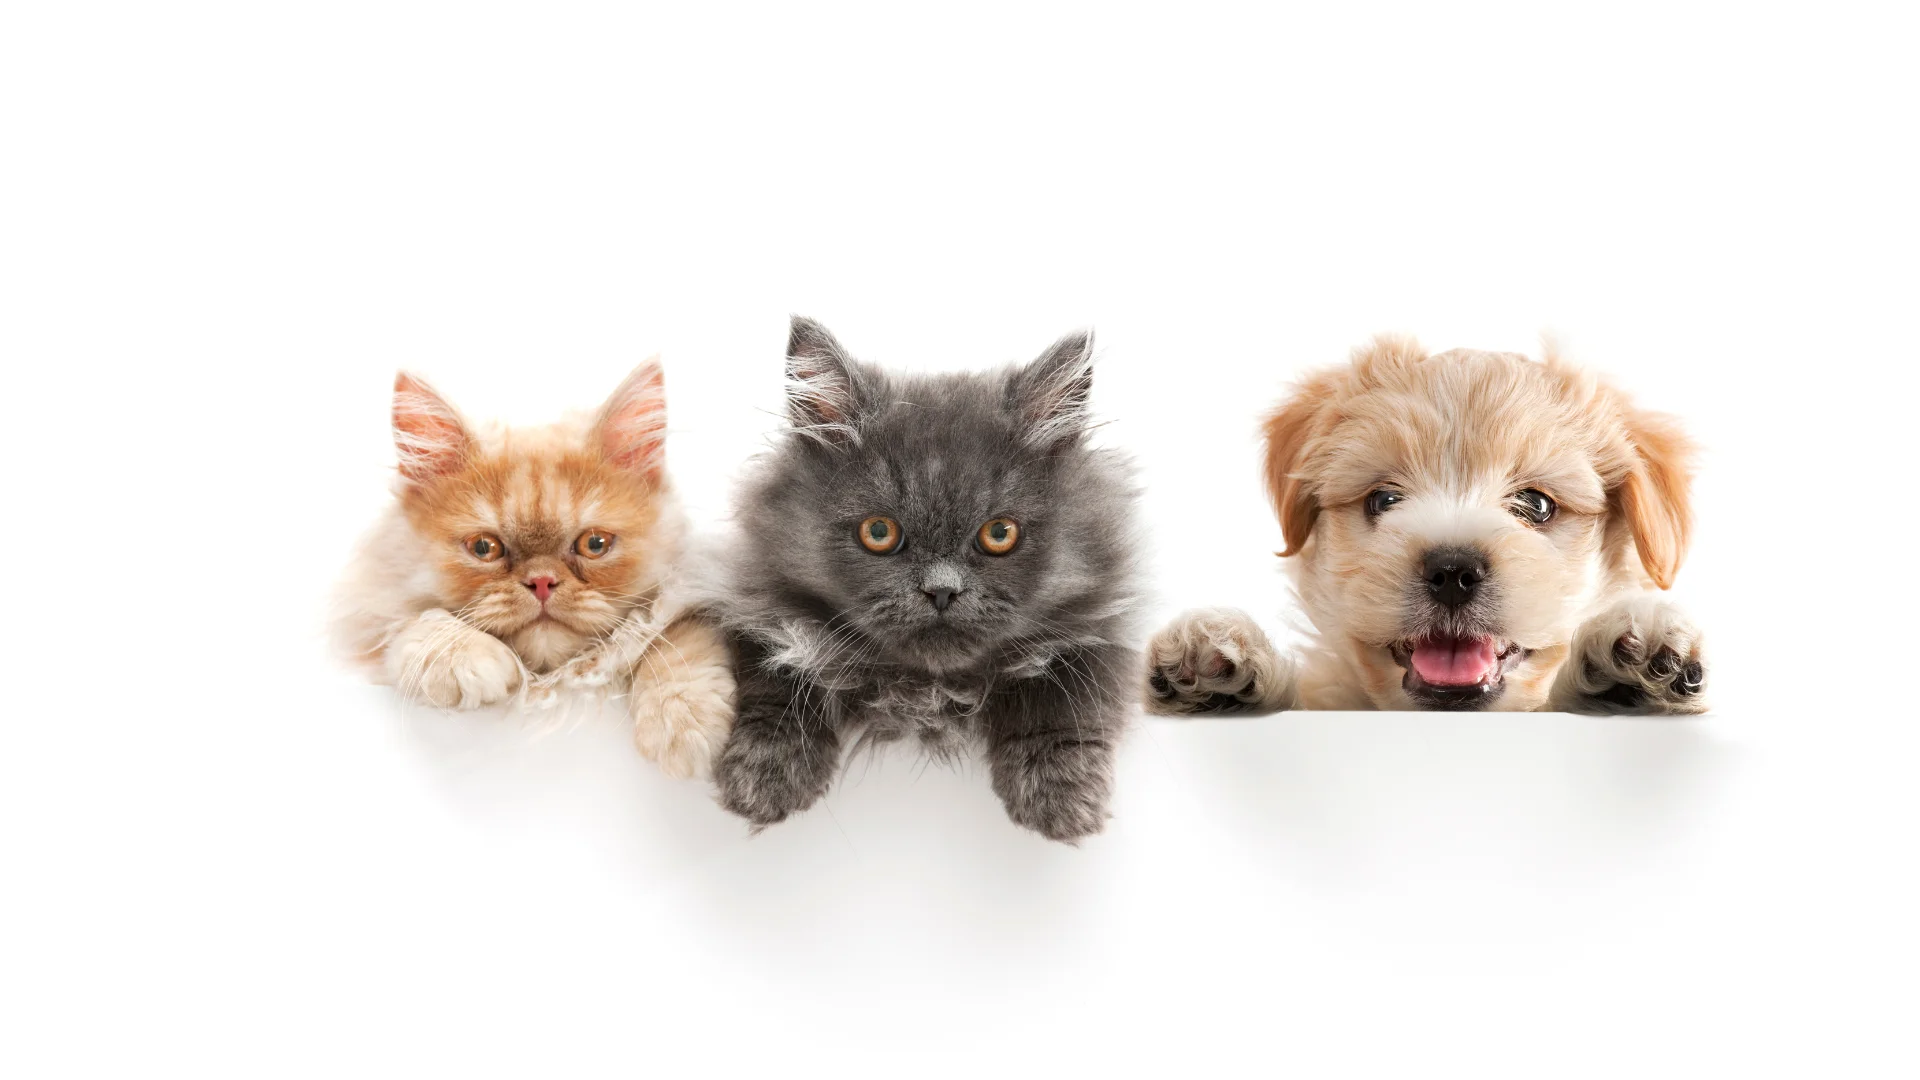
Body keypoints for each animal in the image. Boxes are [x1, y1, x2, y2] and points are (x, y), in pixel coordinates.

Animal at [718, 315, 1136, 837]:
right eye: (879, 532)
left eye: (1000, 533)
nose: (941, 590)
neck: (927, 691)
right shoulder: (752, 593)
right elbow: (778, 675)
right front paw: (766, 775)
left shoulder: (1100, 623)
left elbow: (1066, 692)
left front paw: (1062, 794)